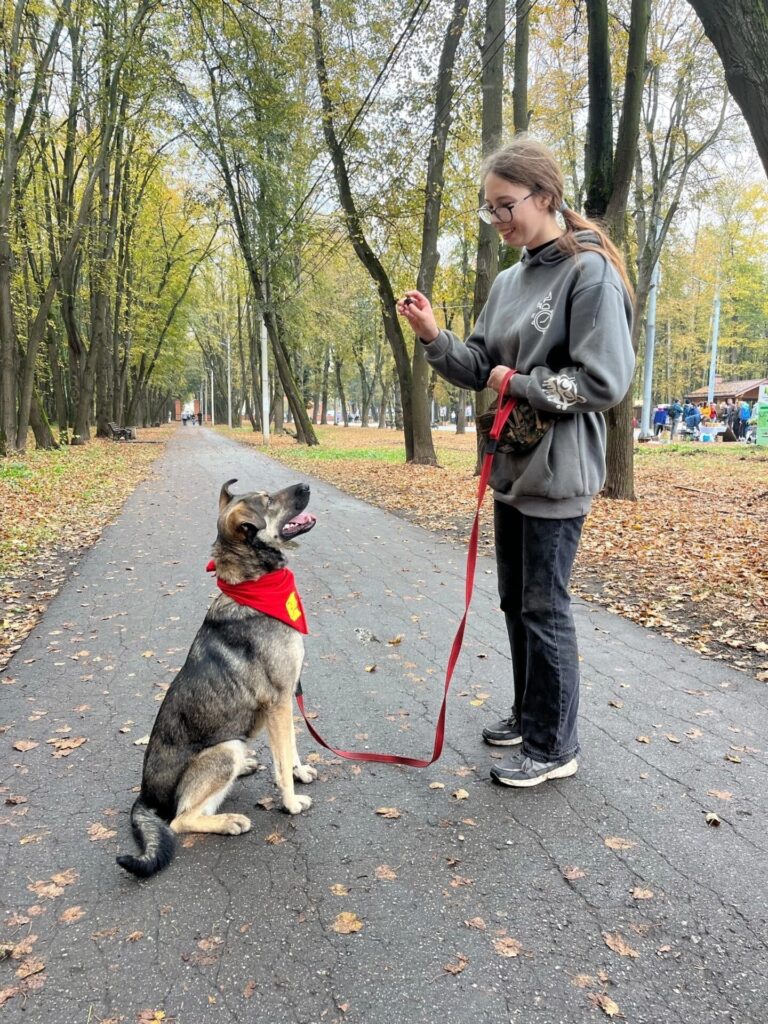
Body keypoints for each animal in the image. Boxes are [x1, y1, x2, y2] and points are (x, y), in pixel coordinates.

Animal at [115, 479, 319, 880]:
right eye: (268, 500)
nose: (305, 484)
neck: (257, 587)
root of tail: (145, 796)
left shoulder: (288, 697)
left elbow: (290, 750)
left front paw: (299, 771)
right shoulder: (279, 702)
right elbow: (283, 761)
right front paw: (290, 803)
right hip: (226, 749)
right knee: (181, 820)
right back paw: (229, 822)